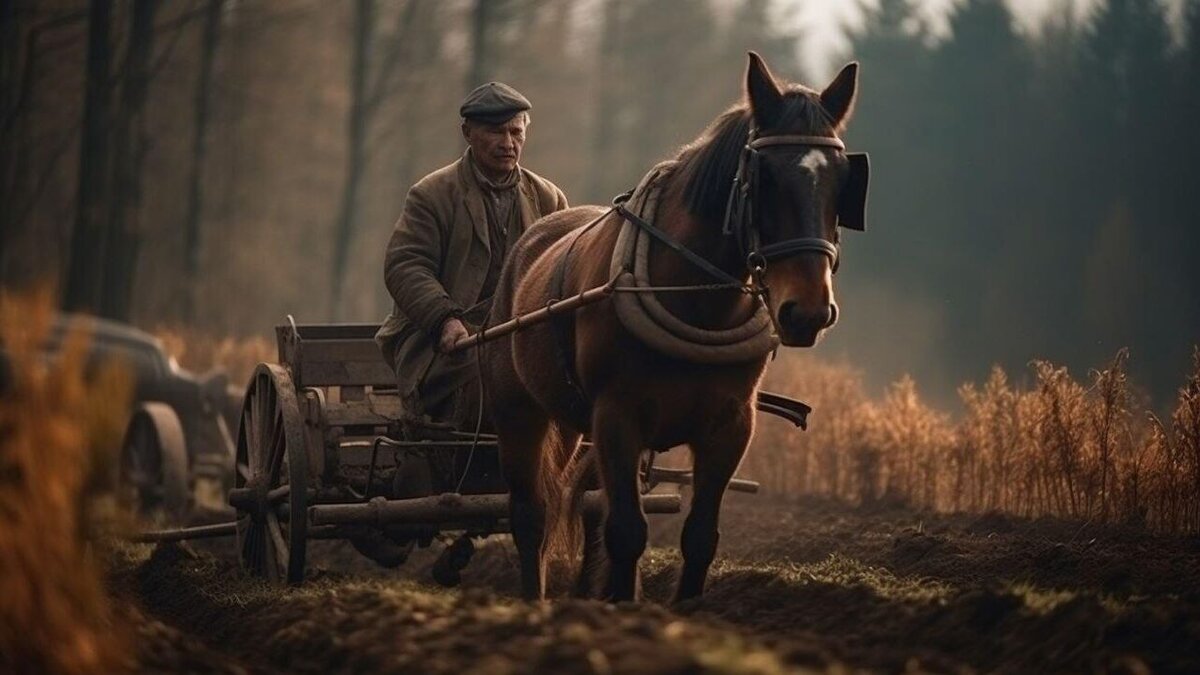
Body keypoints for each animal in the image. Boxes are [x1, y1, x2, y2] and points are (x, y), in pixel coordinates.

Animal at [482, 52, 868, 598]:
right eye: (765, 178)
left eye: (841, 182)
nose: (809, 311)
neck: (694, 303)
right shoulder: (616, 416)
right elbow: (626, 532)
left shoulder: (731, 425)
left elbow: (699, 538)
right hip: (519, 413)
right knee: (531, 517)